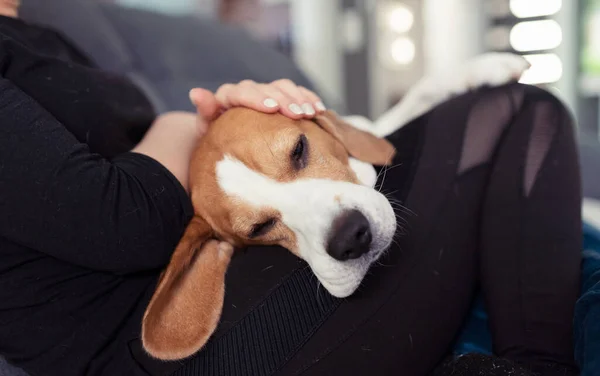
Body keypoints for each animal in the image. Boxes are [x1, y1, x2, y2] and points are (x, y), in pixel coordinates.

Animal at [139, 51, 528, 360]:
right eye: (259, 228)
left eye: (298, 149)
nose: (351, 238)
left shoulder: (372, 126)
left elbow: (411, 99)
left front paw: (484, 67)